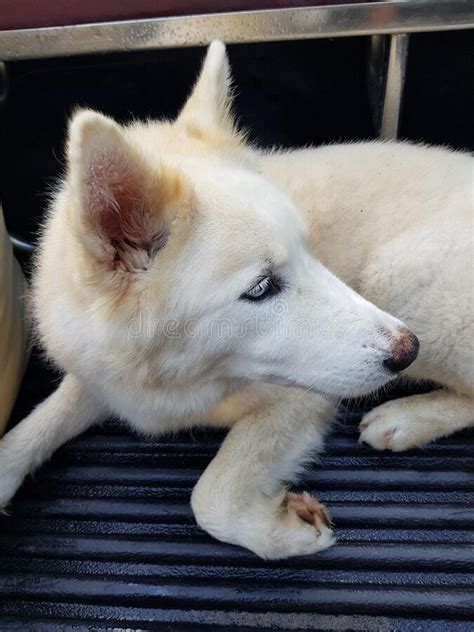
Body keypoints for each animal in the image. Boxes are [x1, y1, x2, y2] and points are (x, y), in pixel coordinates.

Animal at [0, 43, 474, 556]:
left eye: (309, 251)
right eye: (261, 288)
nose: (407, 349)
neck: (180, 375)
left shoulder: (300, 400)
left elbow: (210, 497)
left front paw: (285, 532)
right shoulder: (101, 378)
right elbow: (37, 423)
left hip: (395, 278)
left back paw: (407, 419)